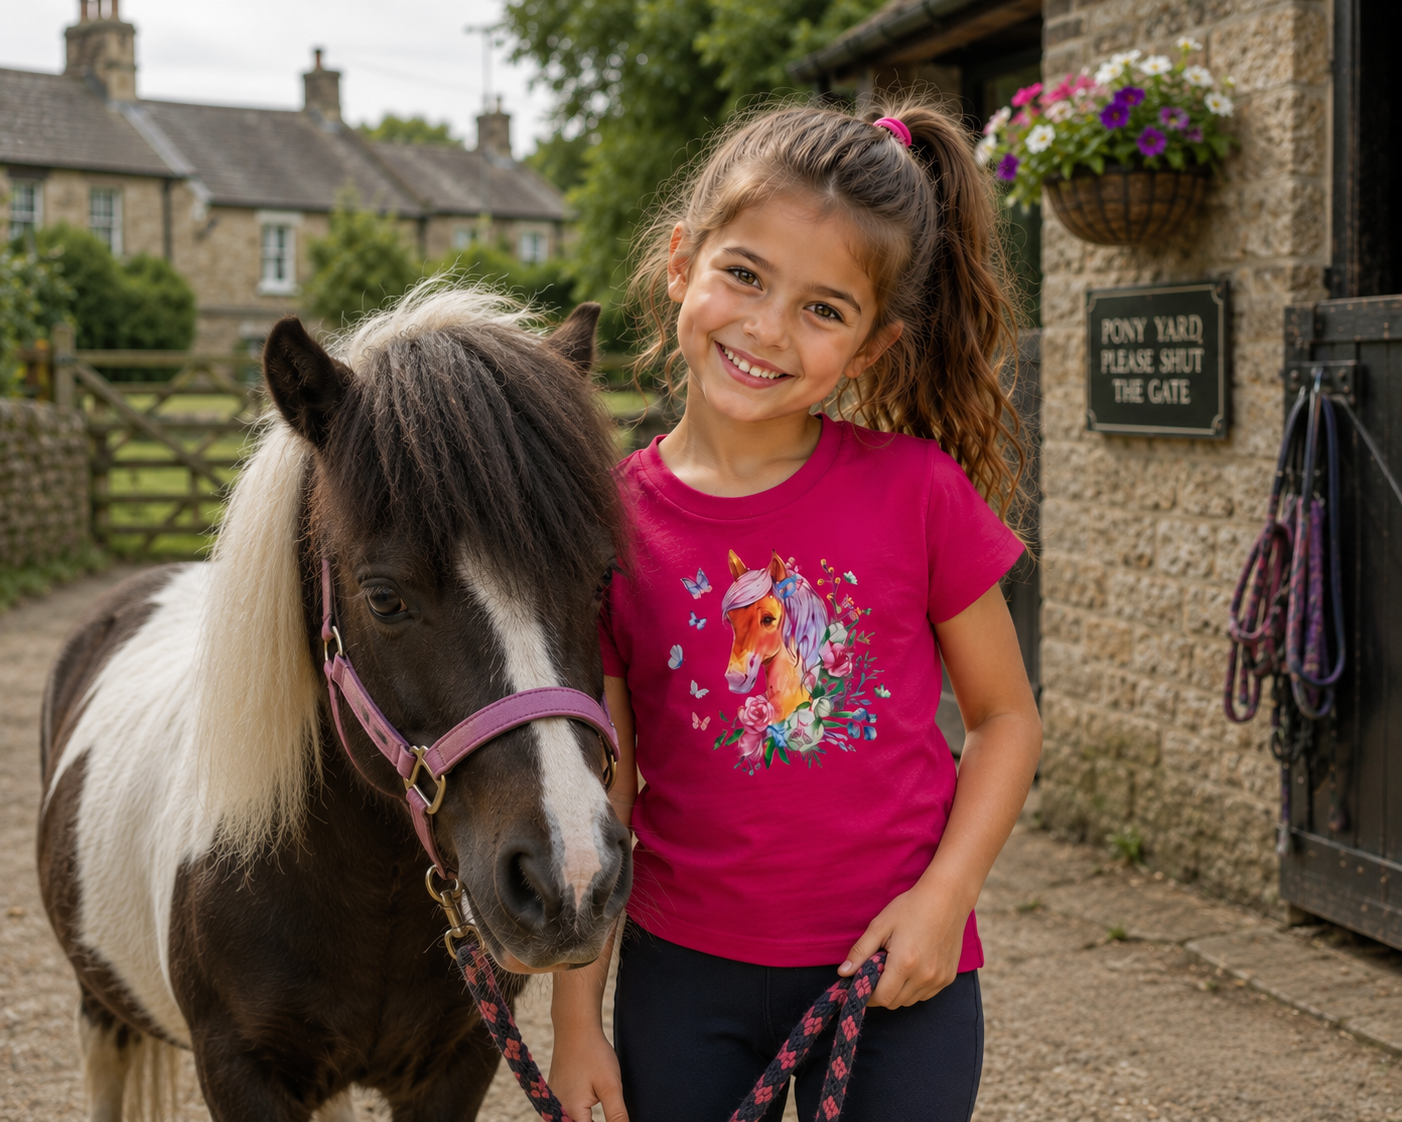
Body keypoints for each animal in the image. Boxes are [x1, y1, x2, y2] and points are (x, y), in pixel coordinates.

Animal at [35, 286, 631, 1122]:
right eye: (384, 597)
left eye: (602, 578)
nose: (574, 880)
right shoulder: (238, 1070)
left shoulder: (461, 1063)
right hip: (101, 1004)